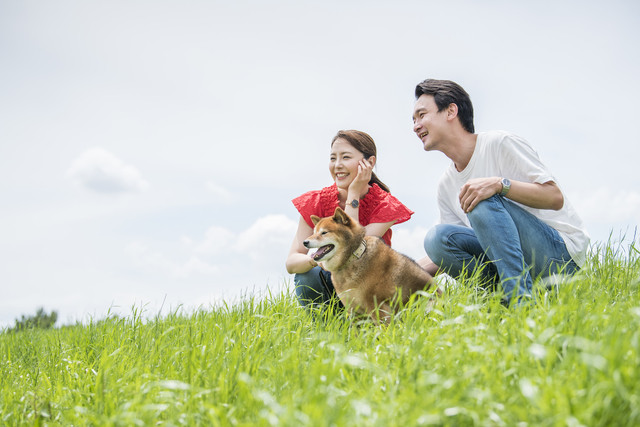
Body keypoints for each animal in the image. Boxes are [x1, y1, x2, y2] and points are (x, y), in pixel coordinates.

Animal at [304, 207, 436, 324]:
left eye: (324, 232)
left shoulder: (378, 306)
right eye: (314, 233)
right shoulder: (353, 311)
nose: (305, 242)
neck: (353, 258)